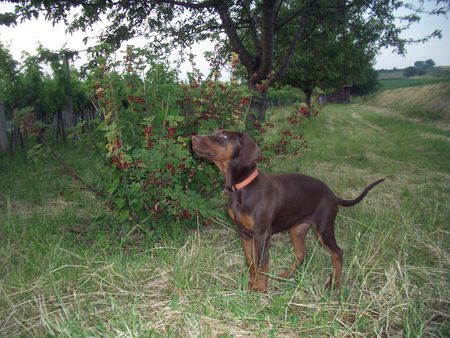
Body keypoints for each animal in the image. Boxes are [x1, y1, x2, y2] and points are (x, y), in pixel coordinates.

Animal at [191, 131, 384, 292]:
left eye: (223, 136)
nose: (193, 138)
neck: (243, 188)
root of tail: (333, 195)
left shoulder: (262, 234)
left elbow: (263, 263)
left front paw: (260, 288)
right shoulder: (244, 233)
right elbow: (251, 262)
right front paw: (251, 284)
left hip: (324, 228)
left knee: (337, 252)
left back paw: (335, 284)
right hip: (297, 230)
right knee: (301, 254)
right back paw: (285, 275)